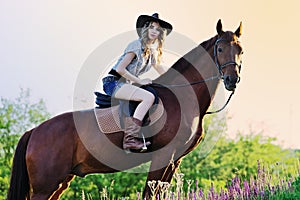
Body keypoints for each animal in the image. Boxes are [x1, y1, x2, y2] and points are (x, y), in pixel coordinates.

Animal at [7, 19, 244, 199]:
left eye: (241, 51)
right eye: (220, 49)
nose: (232, 80)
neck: (183, 97)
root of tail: (34, 132)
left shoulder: (174, 160)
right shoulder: (162, 157)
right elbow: (150, 194)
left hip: (61, 182)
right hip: (45, 186)